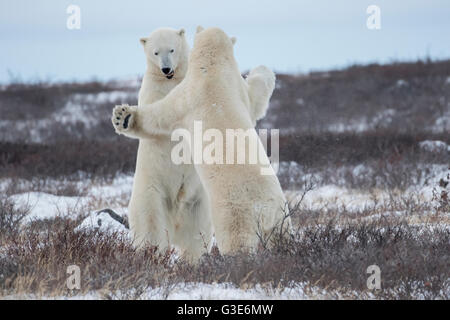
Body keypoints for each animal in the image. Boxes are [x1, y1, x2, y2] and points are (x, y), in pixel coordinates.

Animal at [112, 26, 288, 254]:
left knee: (222, 239)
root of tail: (264, 211)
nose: (166, 70)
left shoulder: (188, 95)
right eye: (156, 52)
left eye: (172, 49)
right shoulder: (228, 88)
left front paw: (124, 117)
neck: (211, 70)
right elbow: (255, 99)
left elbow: (162, 115)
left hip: (230, 211)